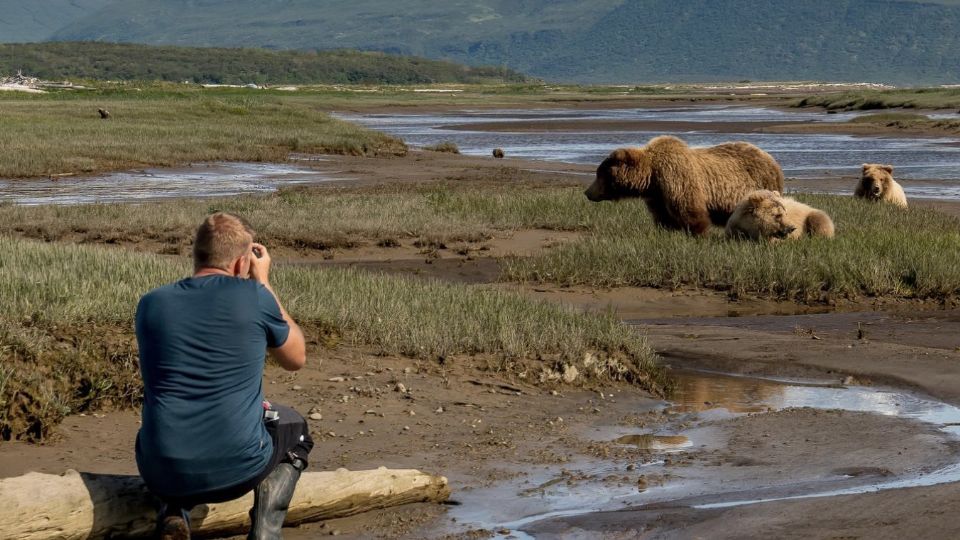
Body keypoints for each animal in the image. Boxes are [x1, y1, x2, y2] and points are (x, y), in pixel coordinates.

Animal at [584, 135, 780, 234]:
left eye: (599, 175)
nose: (587, 192)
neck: (652, 175)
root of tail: (771, 159)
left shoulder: (678, 178)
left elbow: (690, 211)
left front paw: (696, 233)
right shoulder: (657, 195)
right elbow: (663, 217)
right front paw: (667, 231)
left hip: (760, 186)